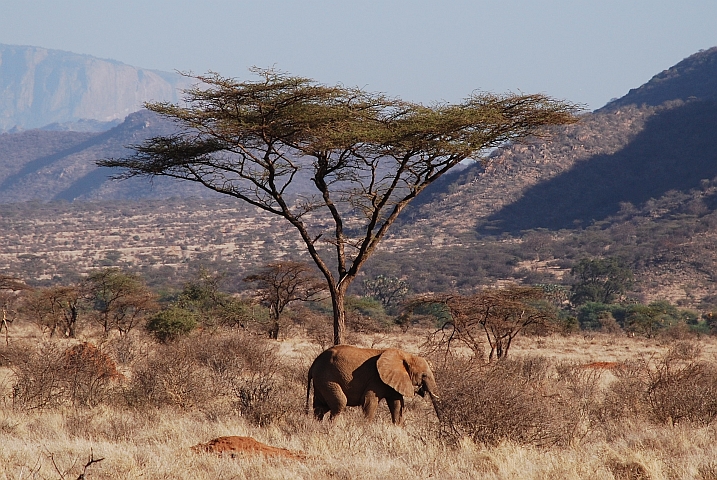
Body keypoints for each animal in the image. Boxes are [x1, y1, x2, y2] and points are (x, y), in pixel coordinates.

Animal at [304, 344, 440, 424]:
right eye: (424, 375)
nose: (421, 390)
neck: (405, 355)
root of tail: (313, 365)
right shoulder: (376, 379)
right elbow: (369, 401)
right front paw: (366, 428)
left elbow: (397, 404)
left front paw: (398, 428)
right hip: (326, 378)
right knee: (339, 403)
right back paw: (333, 428)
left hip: (321, 381)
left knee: (320, 407)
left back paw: (317, 426)